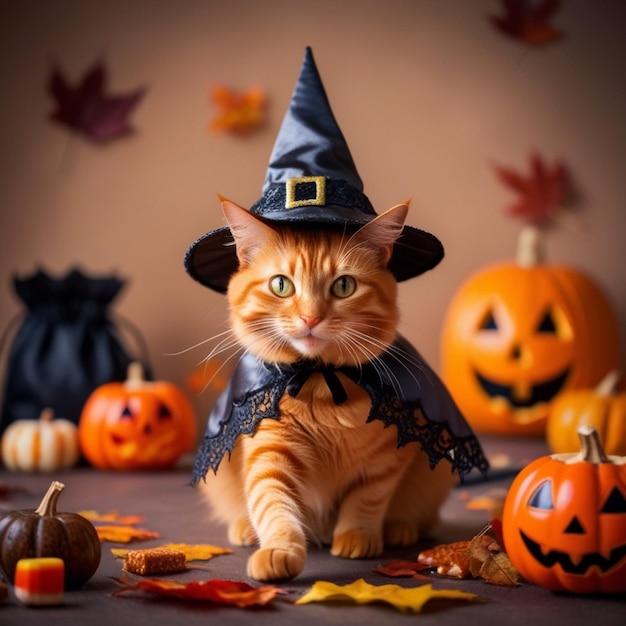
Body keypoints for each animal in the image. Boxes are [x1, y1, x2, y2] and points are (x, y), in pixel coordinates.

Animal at [200, 199, 454, 580]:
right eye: (281, 285)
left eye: (344, 286)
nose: (310, 318)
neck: (320, 381)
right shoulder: (268, 449)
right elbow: (272, 503)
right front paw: (278, 550)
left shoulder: (388, 457)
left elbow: (366, 499)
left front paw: (356, 535)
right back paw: (245, 529)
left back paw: (399, 528)